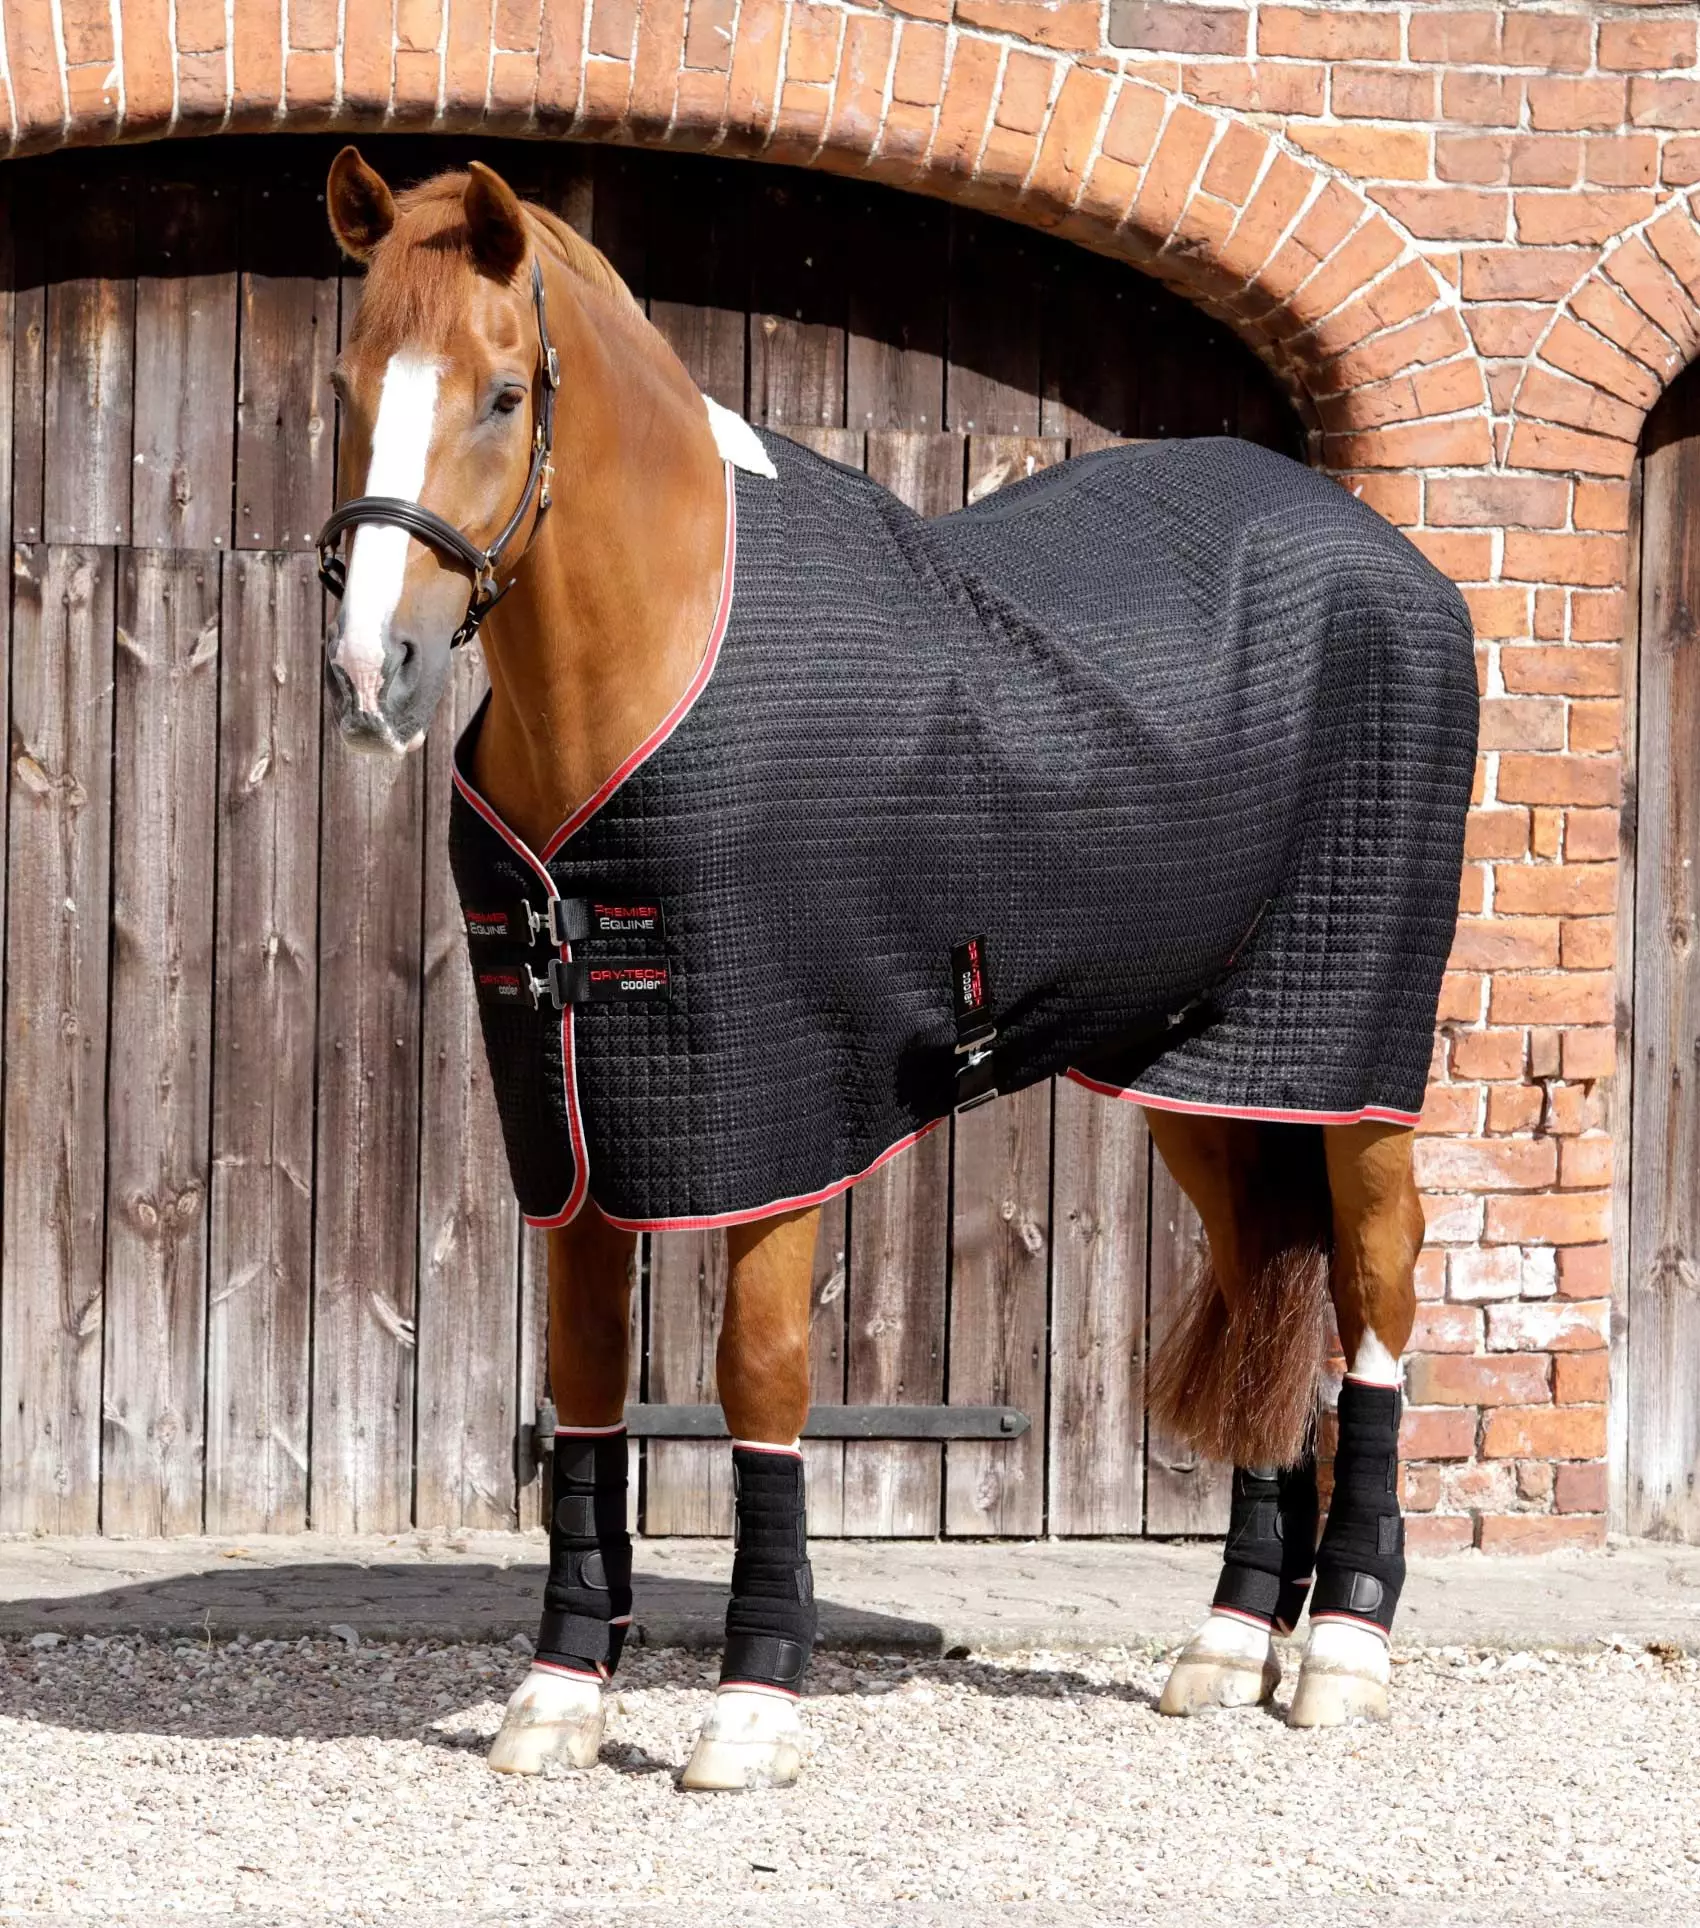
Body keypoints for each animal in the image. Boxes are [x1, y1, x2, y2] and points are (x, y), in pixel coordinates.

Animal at [315, 147, 1476, 1790]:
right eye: (348, 384)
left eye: (500, 393)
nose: (374, 676)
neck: (655, 665)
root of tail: (1398, 567)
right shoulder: (581, 1126)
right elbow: (589, 1381)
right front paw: (558, 1690)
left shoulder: (776, 1119)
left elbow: (757, 1379)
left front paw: (750, 1703)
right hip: (1202, 1078)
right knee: (1267, 1279)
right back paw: (1228, 1638)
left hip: (1349, 1060)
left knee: (1376, 1294)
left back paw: (1346, 1650)